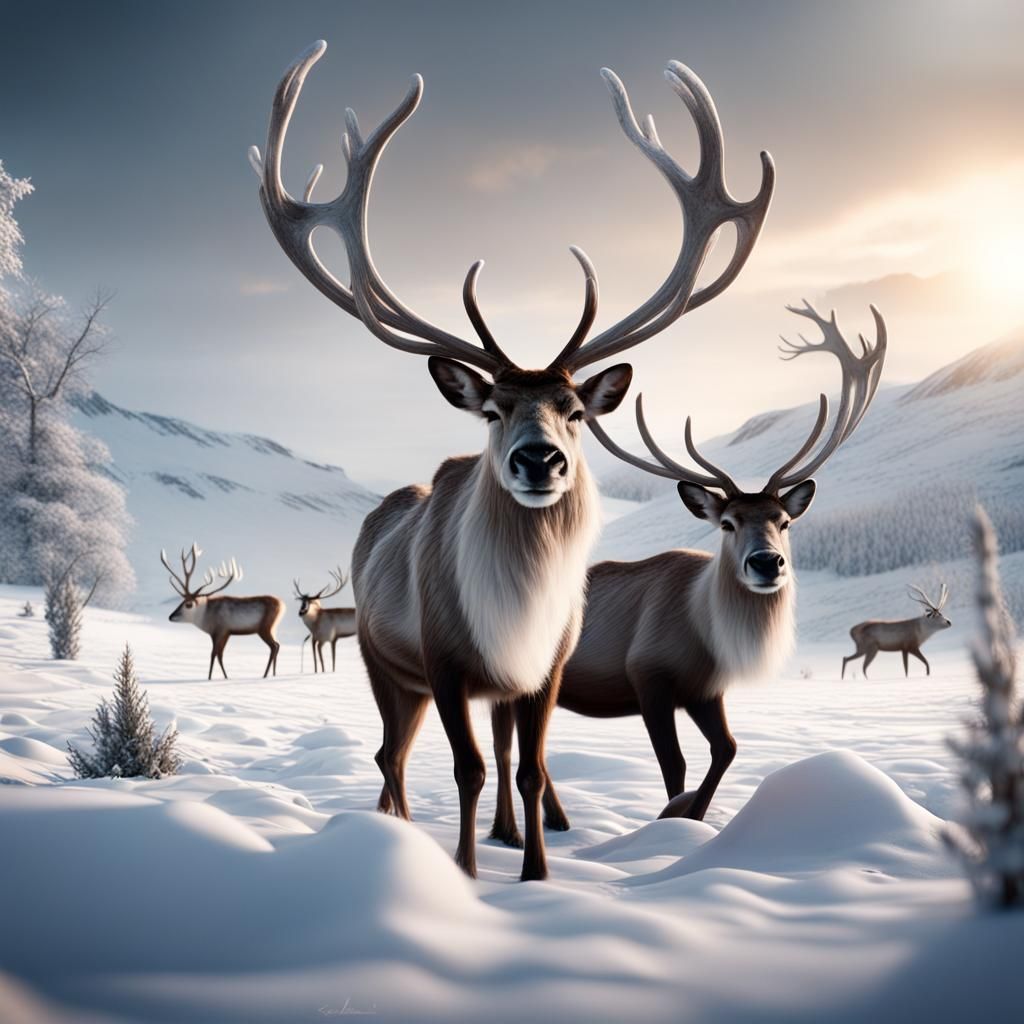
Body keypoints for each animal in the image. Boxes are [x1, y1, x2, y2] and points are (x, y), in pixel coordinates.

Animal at [161, 545, 284, 680]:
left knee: (274, 646)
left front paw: (211, 678)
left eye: (189, 604)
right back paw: (273, 674)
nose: (171, 616)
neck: (206, 618)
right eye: (181, 601)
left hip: (264, 627)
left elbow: (214, 654)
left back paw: (265, 675)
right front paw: (224, 677)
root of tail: (282, 605)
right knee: (277, 645)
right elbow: (219, 655)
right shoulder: (224, 633)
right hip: (273, 628)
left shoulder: (220, 630)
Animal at [249, 40, 774, 879]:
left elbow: (525, 767)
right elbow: (464, 767)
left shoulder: (546, 667)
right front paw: (464, 874)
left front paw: (536, 872)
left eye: (575, 412)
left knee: (476, 754)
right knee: (390, 755)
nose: (539, 460)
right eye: (493, 411)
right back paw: (397, 829)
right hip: (382, 658)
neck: (514, 613)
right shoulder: (441, 657)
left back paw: (496, 833)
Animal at [483, 301, 887, 839]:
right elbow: (673, 763)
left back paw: (558, 822)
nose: (767, 562)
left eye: (783, 521)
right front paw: (670, 820)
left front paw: (692, 816)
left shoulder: (705, 689)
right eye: (728, 523)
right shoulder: (648, 675)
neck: (706, 633)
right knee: (504, 742)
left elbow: (727, 749)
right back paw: (507, 830)